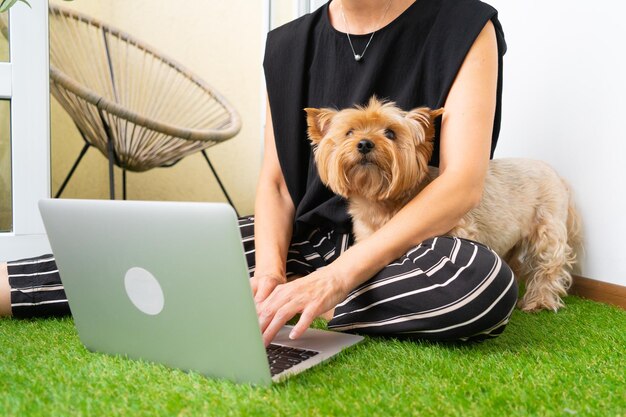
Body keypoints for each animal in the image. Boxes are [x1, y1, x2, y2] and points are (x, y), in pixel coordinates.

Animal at [304, 98, 576, 312]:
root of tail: (556, 174)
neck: (382, 200)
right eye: (349, 133)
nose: (364, 143)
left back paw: (540, 300)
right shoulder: (367, 235)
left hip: (548, 223)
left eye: (390, 133)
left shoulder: (458, 226)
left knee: (549, 263)